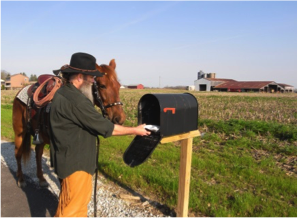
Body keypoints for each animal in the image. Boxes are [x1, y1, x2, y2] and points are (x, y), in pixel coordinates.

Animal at [11, 59, 124, 187]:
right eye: (103, 86)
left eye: (118, 86)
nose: (119, 118)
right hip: (19, 133)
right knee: (18, 153)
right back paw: (21, 179)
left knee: (38, 153)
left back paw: (41, 178)